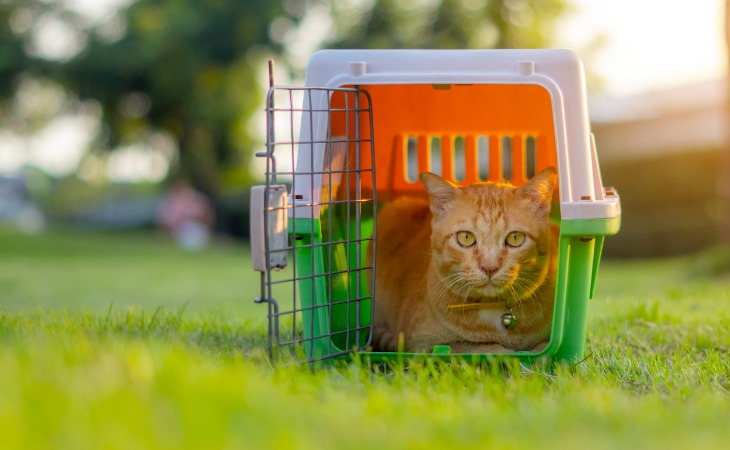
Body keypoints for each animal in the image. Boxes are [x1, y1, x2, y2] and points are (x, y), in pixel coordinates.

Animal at [372, 167, 556, 354]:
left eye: (515, 238)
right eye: (466, 237)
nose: (489, 267)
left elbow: (545, 349)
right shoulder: (421, 345)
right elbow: (479, 347)